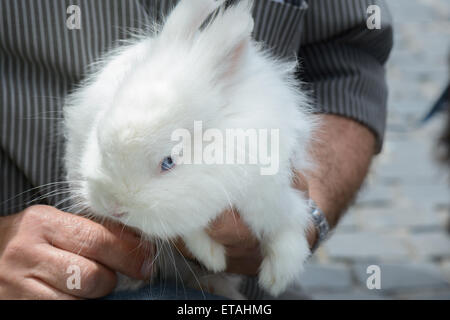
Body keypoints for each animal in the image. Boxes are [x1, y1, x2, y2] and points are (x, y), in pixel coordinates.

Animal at [62, 0, 316, 298]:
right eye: (100, 142)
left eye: (168, 162)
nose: (114, 208)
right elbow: (190, 228)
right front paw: (212, 257)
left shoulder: (272, 193)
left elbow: (287, 228)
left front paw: (278, 277)